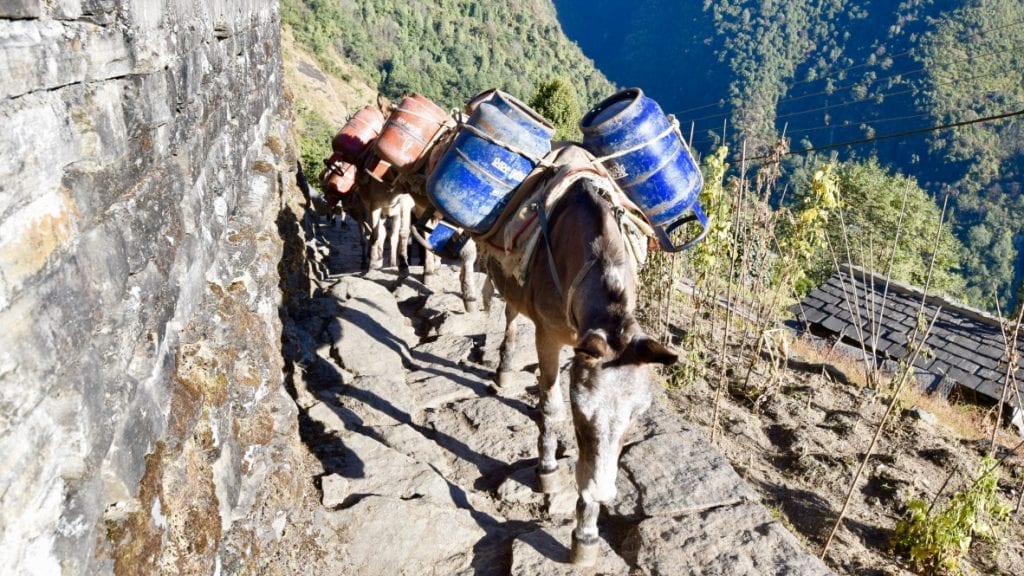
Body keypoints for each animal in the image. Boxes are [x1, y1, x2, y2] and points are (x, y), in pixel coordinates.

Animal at [484, 158, 677, 565]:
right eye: (580, 412)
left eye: (637, 416)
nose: (603, 492)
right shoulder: (548, 337)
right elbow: (550, 406)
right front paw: (547, 469)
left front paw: (586, 533)